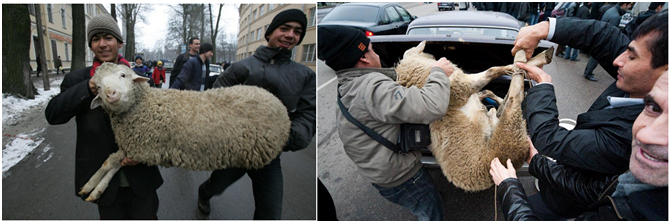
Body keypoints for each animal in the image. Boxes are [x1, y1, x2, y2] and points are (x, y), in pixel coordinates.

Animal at [80, 61, 290, 201]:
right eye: (97, 86)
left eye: (123, 75)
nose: (110, 94)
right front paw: (95, 189)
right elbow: (112, 163)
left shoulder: (144, 149)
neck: (144, 106)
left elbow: (109, 162)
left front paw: (90, 186)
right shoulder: (133, 147)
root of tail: (277, 102)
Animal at [396, 41, 552, 191]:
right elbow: (492, 71)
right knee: (514, 97)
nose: (434, 55)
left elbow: (487, 89)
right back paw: (530, 57)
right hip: (507, 135)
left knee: (501, 105)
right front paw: (520, 64)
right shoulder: (462, 85)